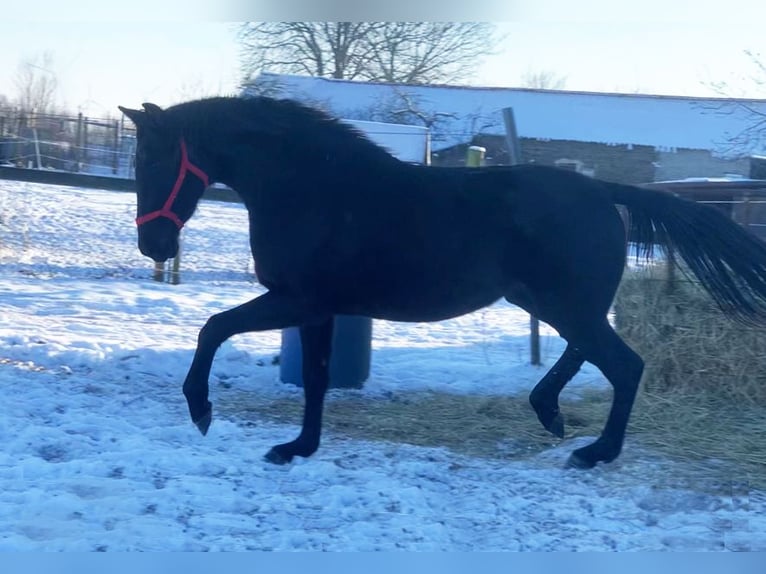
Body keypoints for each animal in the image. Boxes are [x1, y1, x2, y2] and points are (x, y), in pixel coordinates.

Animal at [118, 96, 766, 469]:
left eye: (150, 159)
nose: (155, 247)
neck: (311, 187)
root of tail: (604, 192)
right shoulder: (319, 310)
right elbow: (317, 380)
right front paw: (297, 448)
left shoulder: (297, 299)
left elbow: (212, 327)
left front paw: (201, 409)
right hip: (550, 301)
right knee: (587, 354)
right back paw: (550, 414)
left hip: (566, 304)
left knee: (625, 365)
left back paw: (593, 451)